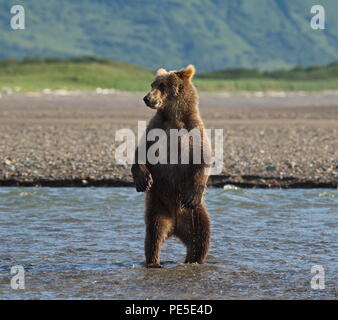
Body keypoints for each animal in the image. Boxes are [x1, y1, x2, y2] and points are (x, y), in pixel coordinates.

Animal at [132, 64, 211, 268]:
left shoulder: (194, 129)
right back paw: (154, 262)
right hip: (158, 208)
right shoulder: (156, 127)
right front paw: (143, 180)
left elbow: (203, 157)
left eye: (162, 85)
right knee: (153, 237)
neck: (174, 117)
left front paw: (192, 195)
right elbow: (141, 150)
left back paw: (193, 260)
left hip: (195, 215)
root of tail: (175, 227)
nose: (147, 98)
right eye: (152, 84)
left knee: (201, 238)